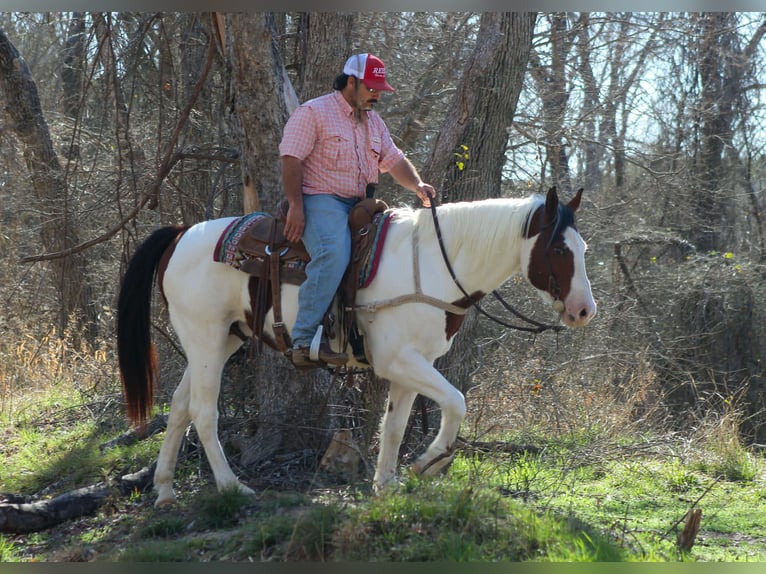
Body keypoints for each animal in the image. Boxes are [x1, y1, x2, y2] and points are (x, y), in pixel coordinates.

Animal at [117, 186, 596, 507]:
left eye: (584, 247)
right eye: (558, 248)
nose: (584, 310)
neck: (434, 265)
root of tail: (181, 234)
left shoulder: (412, 364)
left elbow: (395, 425)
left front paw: (386, 485)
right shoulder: (398, 360)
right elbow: (456, 402)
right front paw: (428, 461)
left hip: (220, 340)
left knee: (180, 406)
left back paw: (164, 490)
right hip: (206, 335)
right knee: (203, 411)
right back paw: (232, 486)